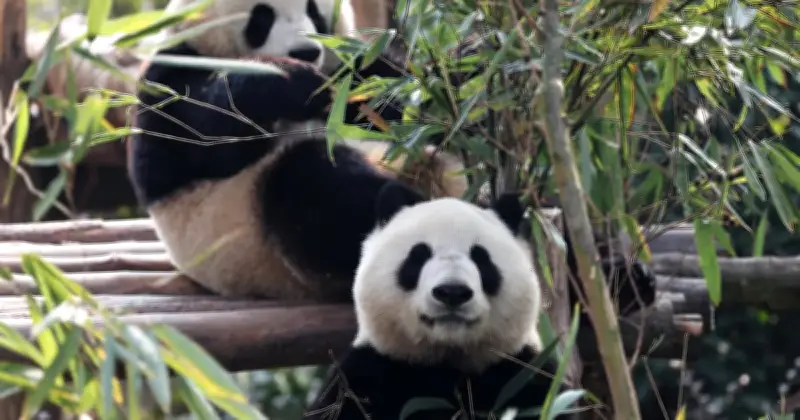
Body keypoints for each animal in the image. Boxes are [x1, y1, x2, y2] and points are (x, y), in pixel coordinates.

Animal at [127, 0, 468, 300]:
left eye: (313, 10)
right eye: (262, 17)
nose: (306, 51)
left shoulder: (353, 72)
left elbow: (399, 99)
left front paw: (459, 70)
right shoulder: (171, 74)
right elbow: (195, 140)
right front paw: (290, 80)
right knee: (312, 185)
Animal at [305, 182, 575, 420]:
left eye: (481, 258)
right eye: (419, 255)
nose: (452, 292)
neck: (446, 360)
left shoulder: (522, 374)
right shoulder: (366, 376)